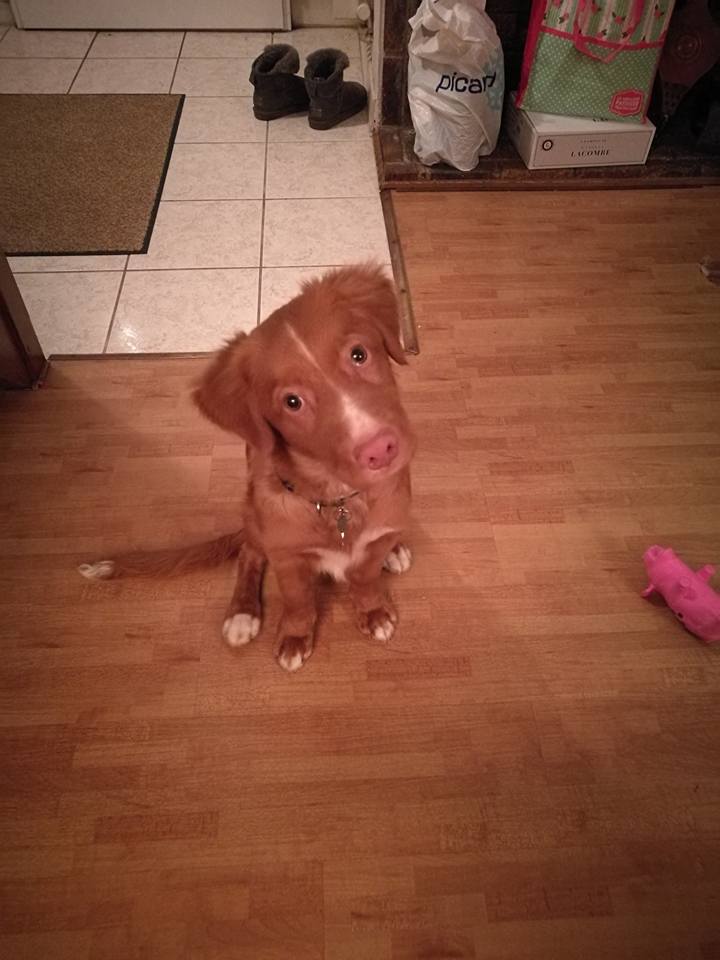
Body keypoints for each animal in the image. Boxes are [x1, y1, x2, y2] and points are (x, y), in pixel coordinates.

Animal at [79, 264, 415, 671]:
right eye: (292, 402)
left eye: (359, 354)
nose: (380, 450)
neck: (337, 500)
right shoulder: (286, 557)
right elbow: (298, 600)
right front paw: (294, 635)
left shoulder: (373, 541)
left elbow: (365, 578)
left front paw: (373, 610)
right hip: (254, 515)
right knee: (248, 552)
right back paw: (242, 613)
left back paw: (395, 551)